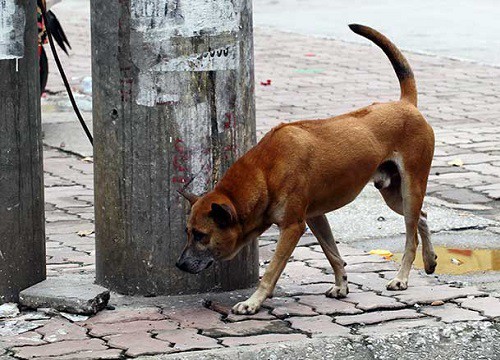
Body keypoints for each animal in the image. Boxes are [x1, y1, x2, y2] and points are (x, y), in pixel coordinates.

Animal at [178, 23, 436, 314]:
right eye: (187, 232)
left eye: (201, 235)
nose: (179, 264)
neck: (263, 172)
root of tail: (405, 103)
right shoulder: (315, 217)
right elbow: (333, 254)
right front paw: (341, 285)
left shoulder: (293, 227)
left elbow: (271, 272)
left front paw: (252, 302)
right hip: (393, 194)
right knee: (422, 216)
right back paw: (430, 260)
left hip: (411, 187)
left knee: (411, 236)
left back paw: (402, 278)